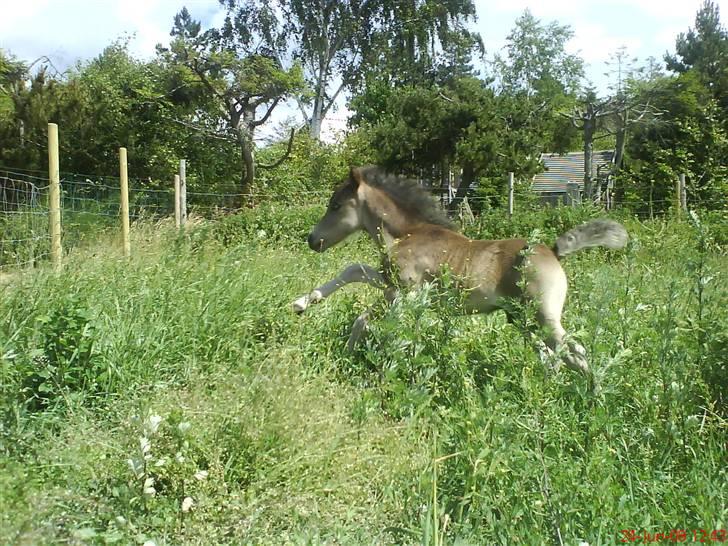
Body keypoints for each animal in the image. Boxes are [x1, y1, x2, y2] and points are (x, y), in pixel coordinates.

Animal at [292, 164, 628, 372]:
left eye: (336, 206)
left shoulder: (407, 293)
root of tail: (554, 253)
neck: (409, 233)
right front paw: (303, 303)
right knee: (551, 357)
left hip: (543, 316)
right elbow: (354, 270)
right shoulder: (390, 283)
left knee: (575, 352)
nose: (312, 240)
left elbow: (366, 319)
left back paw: (591, 400)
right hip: (521, 319)